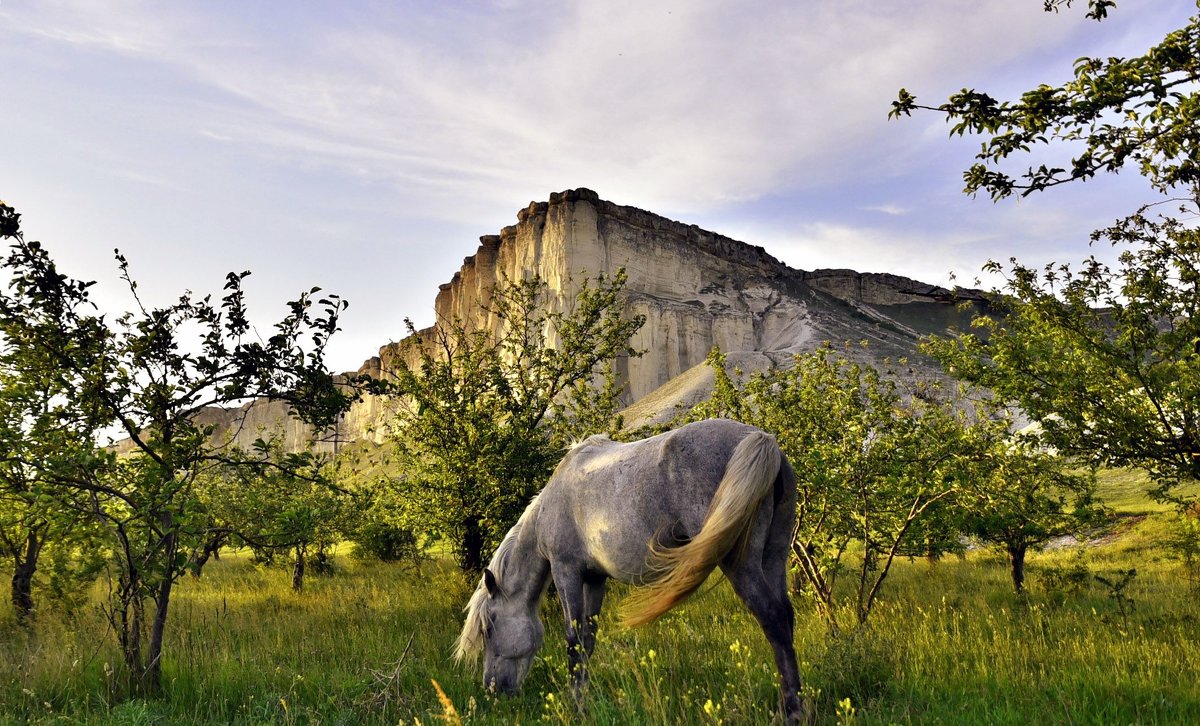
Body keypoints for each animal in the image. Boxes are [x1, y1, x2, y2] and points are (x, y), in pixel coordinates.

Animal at [456, 415, 806, 720]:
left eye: (488, 629)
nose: (492, 689)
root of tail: (761, 439)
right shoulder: (595, 579)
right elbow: (588, 641)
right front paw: (584, 699)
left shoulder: (567, 572)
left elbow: (573, 642)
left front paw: (576, 708)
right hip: (773, 556)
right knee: (785, 618)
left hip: (739, 563)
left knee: (772, 619)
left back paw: (792, 712)